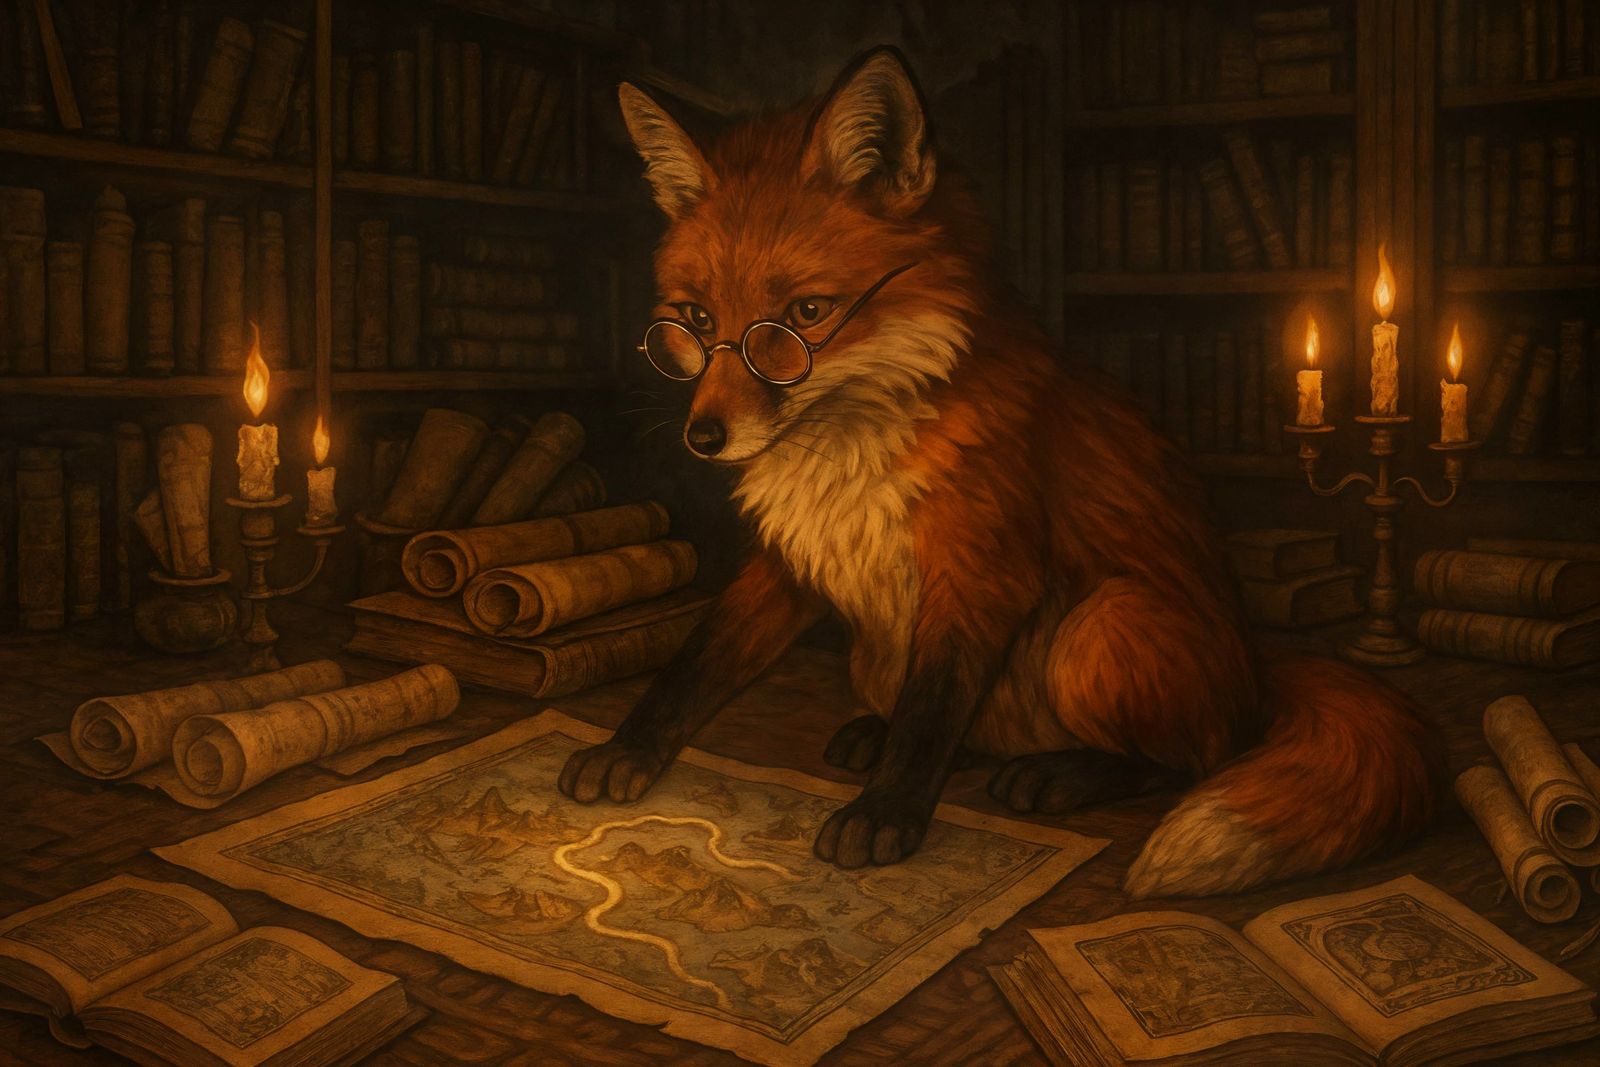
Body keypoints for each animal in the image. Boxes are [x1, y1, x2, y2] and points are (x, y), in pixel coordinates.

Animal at [555, 47, 1445, 897]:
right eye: (697, 319)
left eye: (806, 314)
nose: (705, 437)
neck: (847, 452)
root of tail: (1257, 670)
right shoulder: (787, 561)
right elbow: (697, 664)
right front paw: (629, 747)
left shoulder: (982, 569)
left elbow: (933, 710)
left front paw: (885, 814)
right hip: (883, 655)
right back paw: (888, 736)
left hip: (1100, 628)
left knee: (1197, 754)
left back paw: (1060, 774)